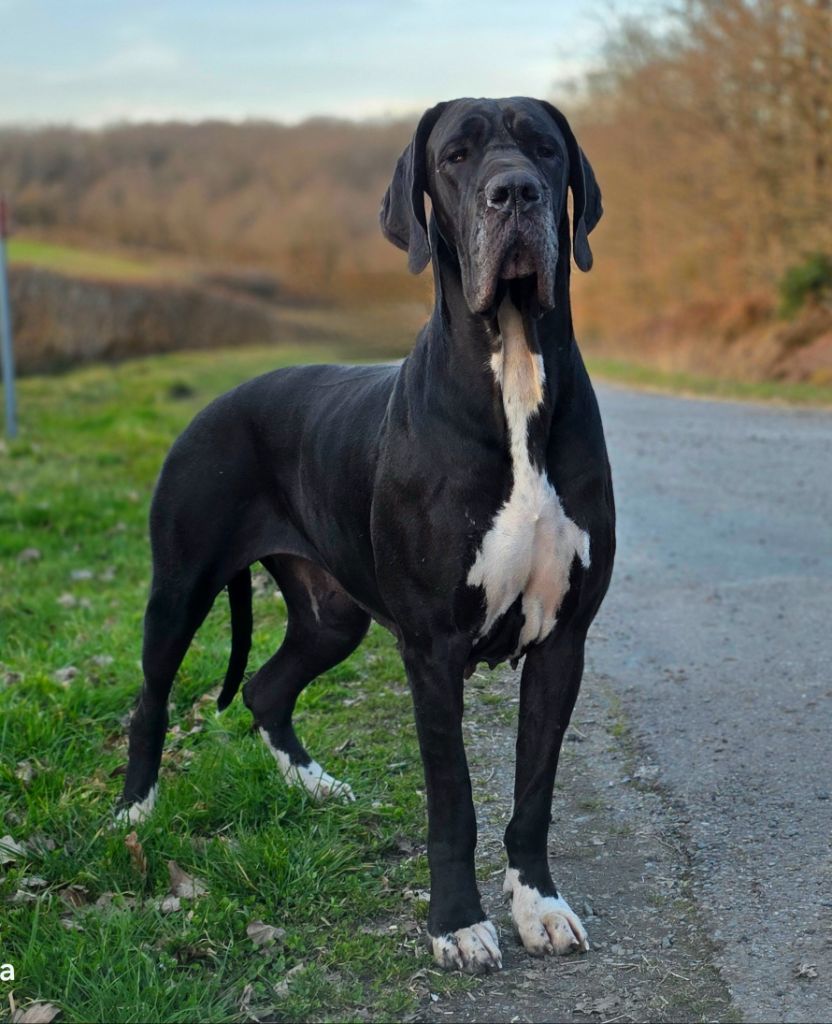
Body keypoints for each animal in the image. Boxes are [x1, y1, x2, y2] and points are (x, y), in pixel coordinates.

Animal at [120, 97, 614, 974]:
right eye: (455, 157)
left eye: (546, 149)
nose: (515, 193)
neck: (514, 366)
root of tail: (217, 401)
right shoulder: (433, 648)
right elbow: (453, 799)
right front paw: (458, 923)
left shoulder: (564, 639)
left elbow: (534, 791)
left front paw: (541, 908)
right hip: (179, 589)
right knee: (151, 702)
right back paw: (133, 820)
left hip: (332, 615)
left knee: (267, 687)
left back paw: (316, 787)